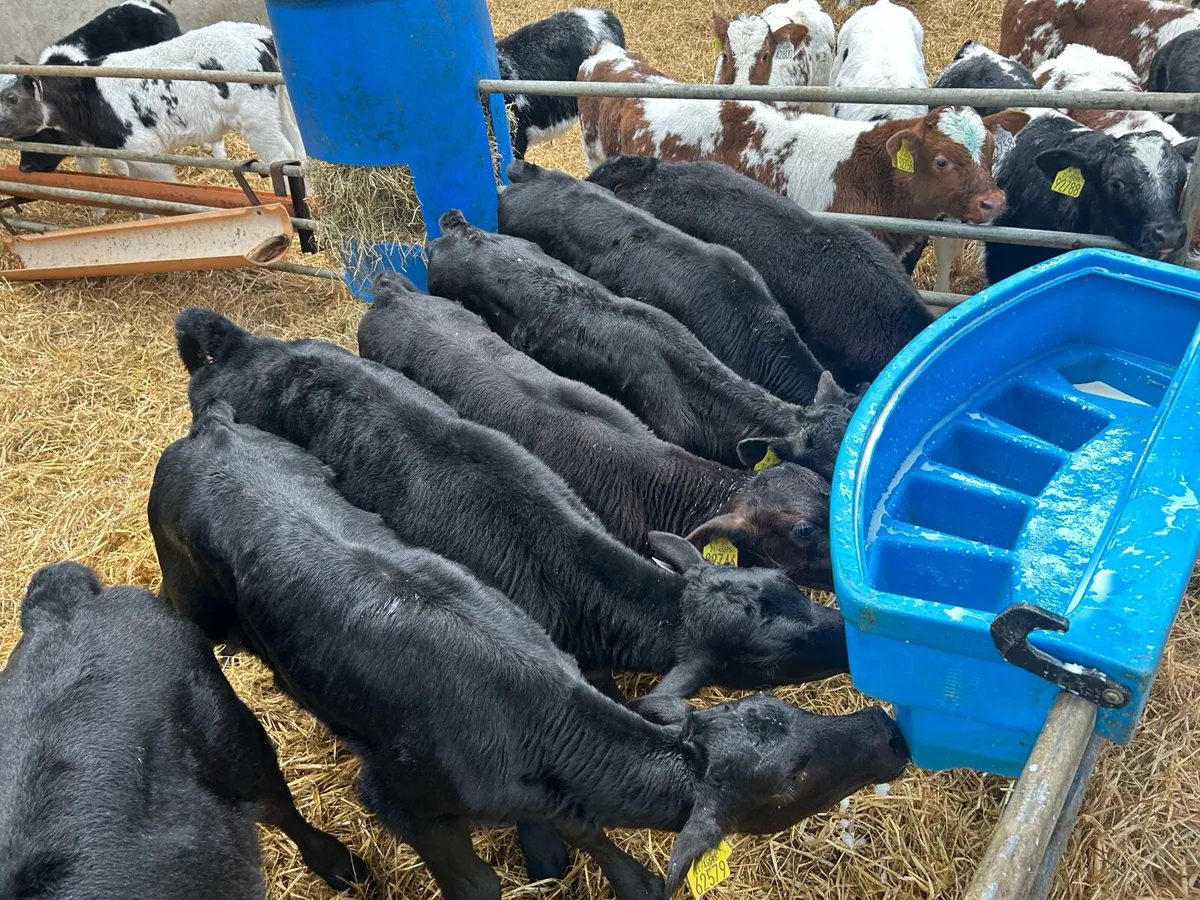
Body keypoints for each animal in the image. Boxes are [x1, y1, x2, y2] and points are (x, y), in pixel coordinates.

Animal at [0, 22, 303, 184]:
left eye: (12, 98)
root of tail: (256, 34)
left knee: (282, 156)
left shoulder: (145, 147)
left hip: (257, 120)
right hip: (284, 110)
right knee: (299, 153)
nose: (24, 168)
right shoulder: (130, 152)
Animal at [151, 400, 907, 900]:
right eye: (791, 780)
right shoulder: (401, 801)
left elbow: (586, 824)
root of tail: (213, 427)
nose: (887, 725)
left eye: (786, 588)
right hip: (187, 595)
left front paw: (626, 878)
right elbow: (484, 881)